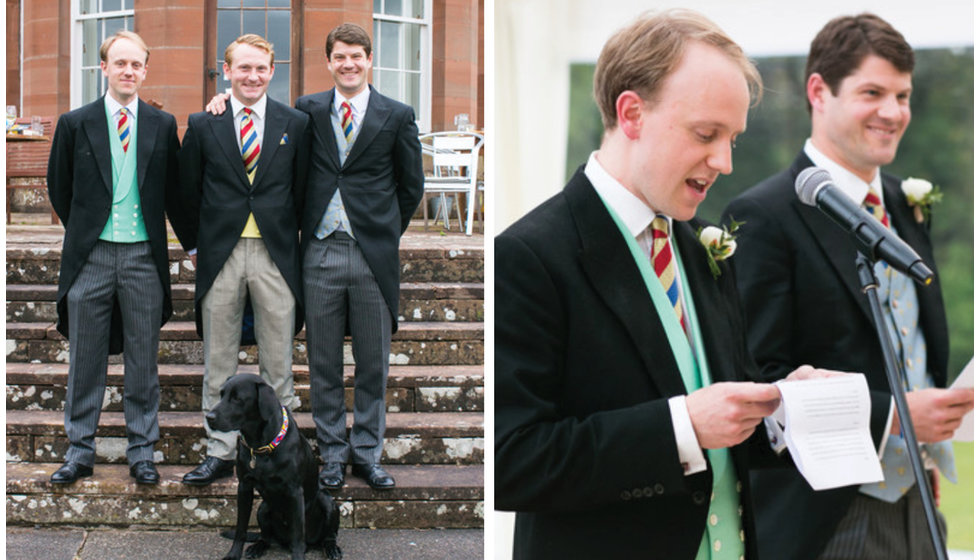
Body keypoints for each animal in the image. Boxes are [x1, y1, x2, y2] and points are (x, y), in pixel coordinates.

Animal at [208, 372, 344, 560]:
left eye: (237, 398)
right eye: (221, 395)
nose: (209, 417)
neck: (260, 446)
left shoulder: (294, 491)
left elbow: (298, 535)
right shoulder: (244, 487)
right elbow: (240, 528)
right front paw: (233, 555)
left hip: (328, 501)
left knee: (328, 536)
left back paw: (331, 549)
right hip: (263, 508)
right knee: (265, 537)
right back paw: (257, 547)